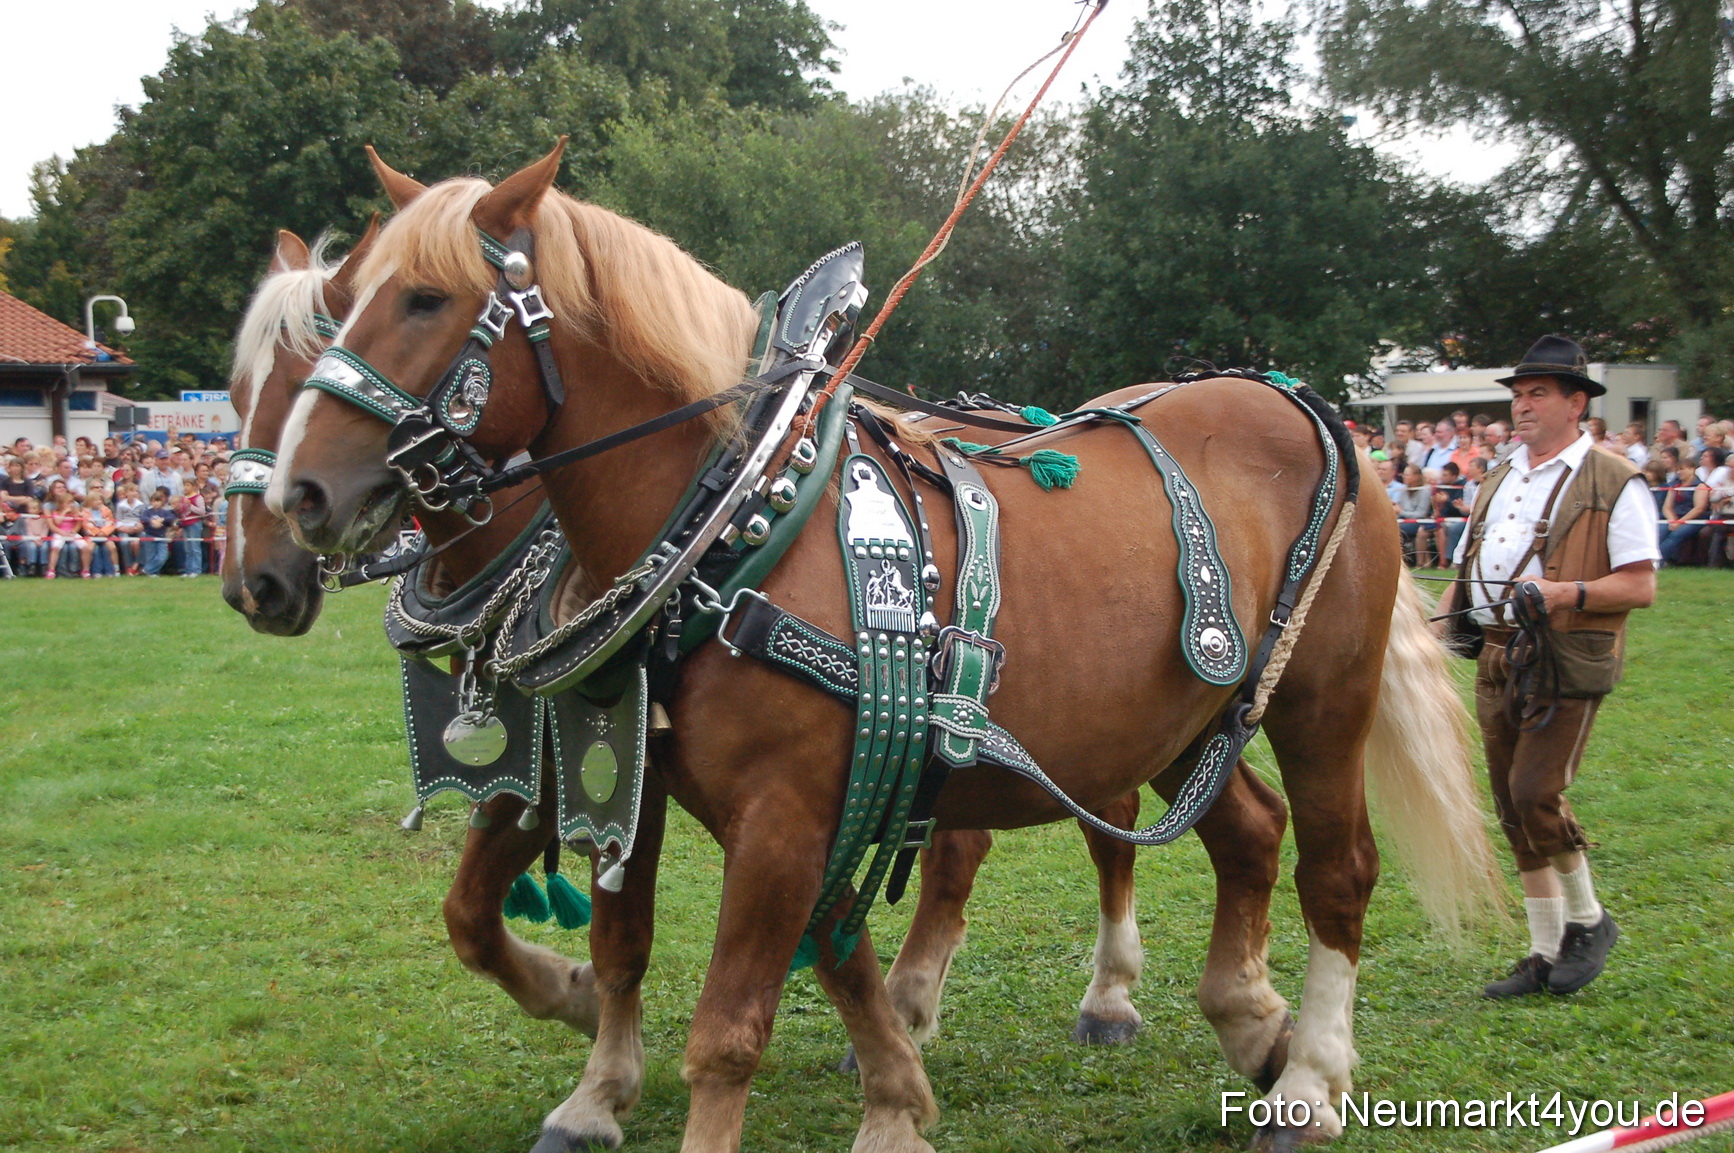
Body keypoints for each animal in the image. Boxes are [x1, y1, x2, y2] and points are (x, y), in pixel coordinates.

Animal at [268, 143, 1497, 1153]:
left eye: (425, 297)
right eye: (343, 305)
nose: (298, 498)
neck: (740, 517)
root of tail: (1312, 411)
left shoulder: (783, 809)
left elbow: (731, 1025)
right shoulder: (765, 792)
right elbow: (823, 953)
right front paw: (897, 1099)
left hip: (1322, 699)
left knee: (1336, 870)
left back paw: (1312, 1081)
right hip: (1173, 719)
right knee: (1246, 832)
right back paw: (1250, 1021)